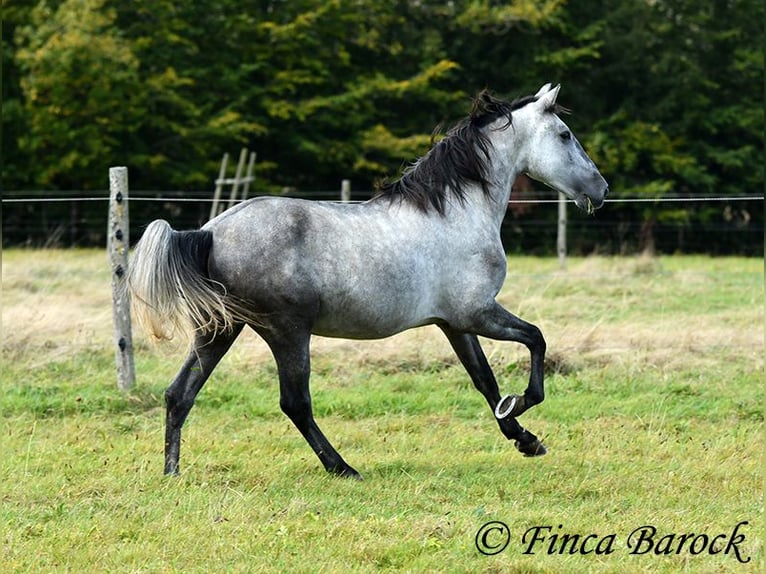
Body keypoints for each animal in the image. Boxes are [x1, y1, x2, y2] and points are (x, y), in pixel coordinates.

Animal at [130, 84, 612, 482]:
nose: (602, 189)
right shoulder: (477, 313)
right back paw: (343, 468)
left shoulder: (454, 324)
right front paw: (523, 403)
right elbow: (536, 340)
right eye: (565, 135)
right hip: (286, 332)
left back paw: (172, 474)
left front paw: (524, 439)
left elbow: (485, 381)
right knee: (295, 403)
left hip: (220, 329)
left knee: (179, 393)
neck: (455, 213)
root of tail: (210, 231)